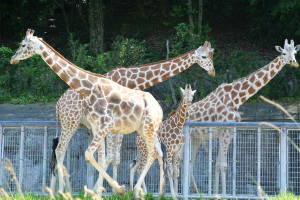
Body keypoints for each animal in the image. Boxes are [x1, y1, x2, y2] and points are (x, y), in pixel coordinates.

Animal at [10, 29, 166, 198]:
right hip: (145, 130)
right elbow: (101, 159)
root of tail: (160, 108)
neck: (89, 89)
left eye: (23, 44)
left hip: (148, 128)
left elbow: (89, 155)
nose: (12, 59)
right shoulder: (97, 126)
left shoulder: (107, 124)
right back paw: (161, 192)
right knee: (158, 152)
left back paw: (137, 191)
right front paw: (100, 193)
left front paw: (117, 189)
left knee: (152, 153)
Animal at [50, 40, 214, 192]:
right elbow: (111, 156)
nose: (212, 71)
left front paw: (112, 190)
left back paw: (57, 190)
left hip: (76, 124)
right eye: (204, 56)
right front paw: (105, 190)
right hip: (70, 122)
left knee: (58, 150)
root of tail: (58, 104)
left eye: (212, 54)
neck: (132, 80)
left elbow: (116, 158)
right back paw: (60, 191)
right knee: (60, 150)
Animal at [186, 39, 298, 195]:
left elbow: (218, 165)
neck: (237, 98)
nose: (293, 62)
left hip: (196, 138)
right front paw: (223, 195)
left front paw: (217, 193)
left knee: (188, 163)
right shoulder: (225, 132)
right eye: (283, 53)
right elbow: (222, 165)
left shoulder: (228, 132)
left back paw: (194, 191)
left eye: (295, 52)